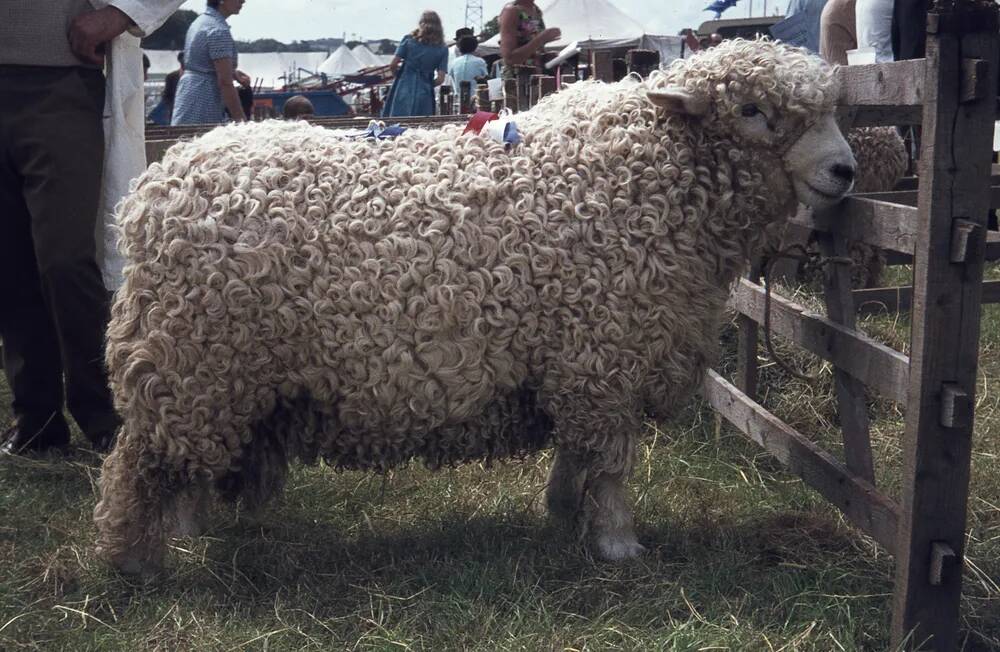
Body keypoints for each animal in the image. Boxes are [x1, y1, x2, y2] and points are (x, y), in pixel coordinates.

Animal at [95, 38, 860, 572]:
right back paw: (136, 561)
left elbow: (575, 455)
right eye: (754, 111)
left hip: (215, 372)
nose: (844, 171)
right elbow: (610, 463)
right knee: (140, 462)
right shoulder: (604, 356)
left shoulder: (573, 361)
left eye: (830, 112)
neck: (647, 177)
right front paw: (618, 545)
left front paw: (562, 515)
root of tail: (154, 189)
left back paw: (184, 530)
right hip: (193, 358)